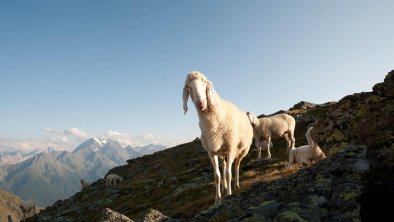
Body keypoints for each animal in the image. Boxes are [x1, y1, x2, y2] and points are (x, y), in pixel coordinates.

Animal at [182, 70, 252, 206]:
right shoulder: (211, 152)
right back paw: (225, 187)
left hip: (242, 150)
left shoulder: (230, 147)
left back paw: (236, 185)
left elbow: (228, 174)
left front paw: (229, 194)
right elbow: (217, 176)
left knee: (236, 166)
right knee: (224, 166)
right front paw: (217, 200)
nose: (200, 103)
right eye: (188, 86)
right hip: (222, 152)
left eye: (204, 81)